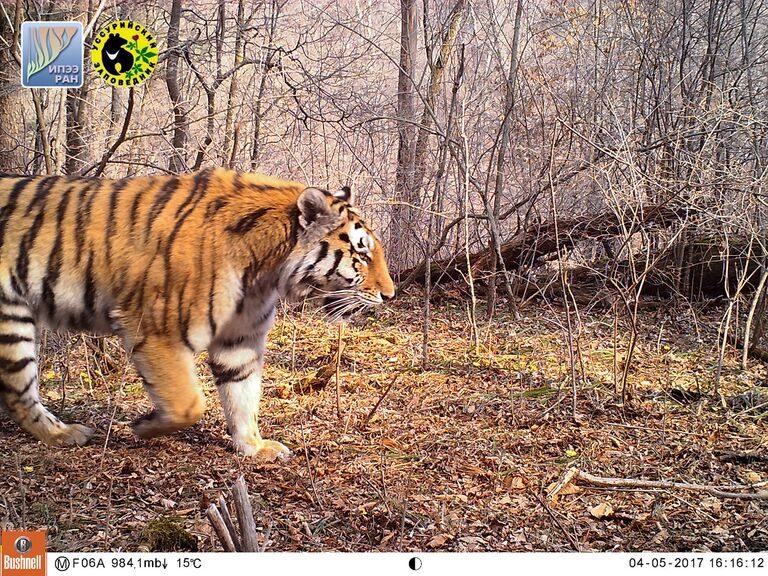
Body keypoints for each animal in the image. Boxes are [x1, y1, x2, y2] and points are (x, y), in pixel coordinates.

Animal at [0, 169, 396, 462]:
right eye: (362, 255)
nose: (390, 295)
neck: (265, 271)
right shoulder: (156, 328)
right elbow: (189, 403)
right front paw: (144, 426)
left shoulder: (240, 338)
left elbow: (243, 396)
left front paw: (255, 447)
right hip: (11, 318)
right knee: (18, 393)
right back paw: (64, 434)